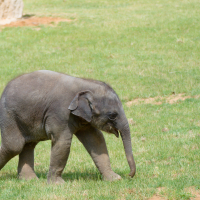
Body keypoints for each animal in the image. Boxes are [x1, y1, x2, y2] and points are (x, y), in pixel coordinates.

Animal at [0, 70, 136, 184]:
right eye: (112, 115)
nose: (129, 175)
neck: (84, 84)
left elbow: (96, 140)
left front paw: (114, 179)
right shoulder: (60, 113)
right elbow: (63, 143)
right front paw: (58, 185)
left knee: (28, 145)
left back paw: (30, 180)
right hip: (9, 115)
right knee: (14, 146)